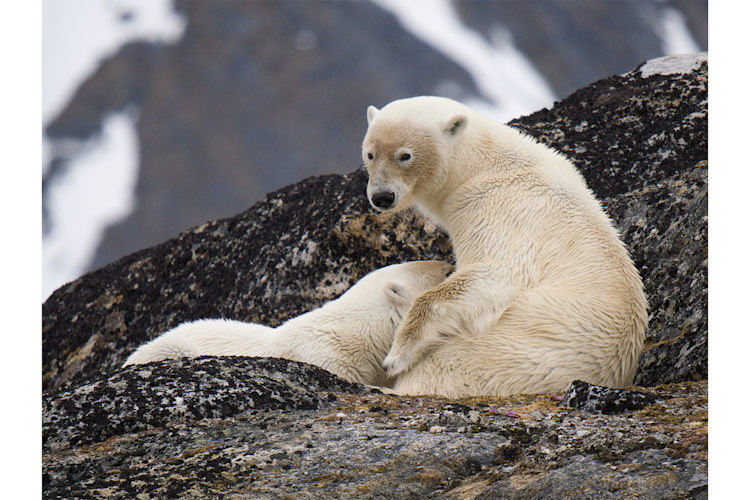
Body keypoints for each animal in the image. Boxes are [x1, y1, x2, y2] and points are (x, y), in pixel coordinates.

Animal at [362, 96, 648, 398]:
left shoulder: (502, 211)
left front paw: (396, 356)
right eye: (370, 154)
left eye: (405, 155)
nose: (382, 196)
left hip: (508, 354)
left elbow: (496, 277)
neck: (484, 164)